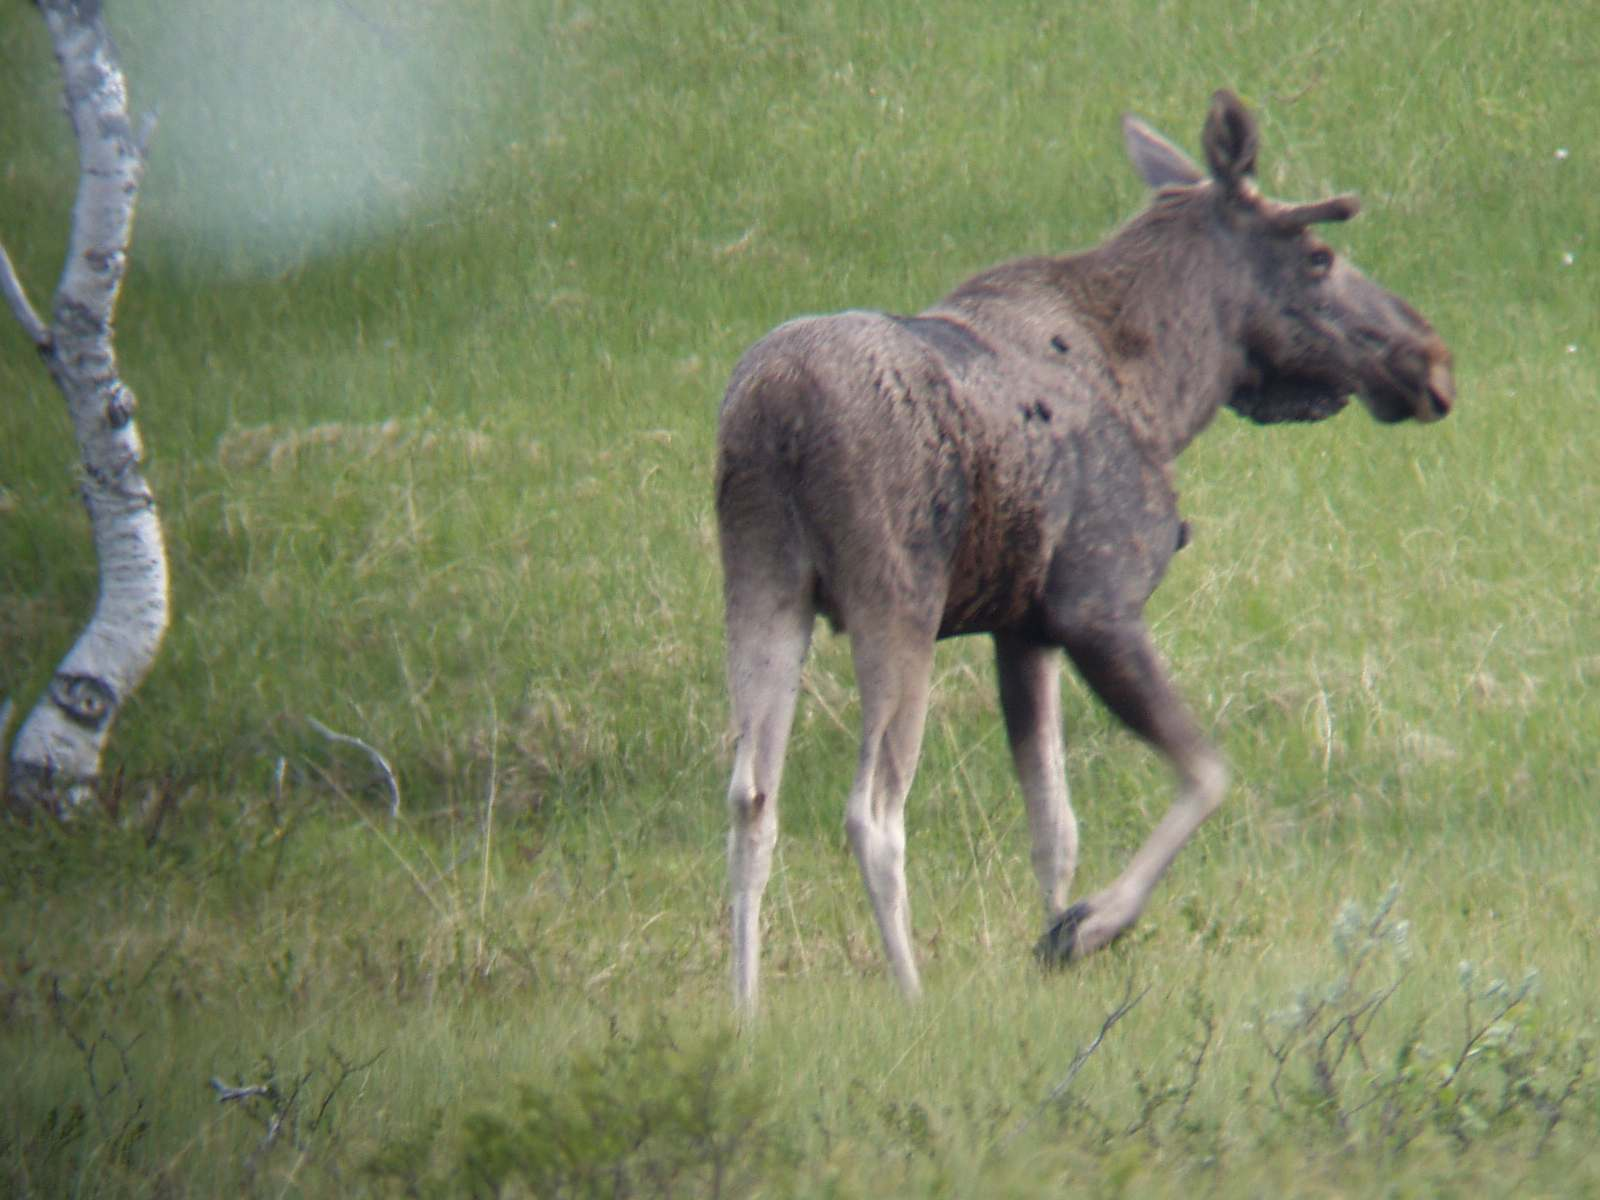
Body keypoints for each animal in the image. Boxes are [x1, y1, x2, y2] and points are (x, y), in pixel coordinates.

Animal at [720, 89, 1459, 1017]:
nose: (1430, 358)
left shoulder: (1021, 628)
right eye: (1320, 255)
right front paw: (1089, 927)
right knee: (872, 809)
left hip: (762, 582)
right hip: (896, 599)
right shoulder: (1094, 604)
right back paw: (911, 996)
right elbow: (1206, 773)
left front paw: (1054, 930)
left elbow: (1055, 825)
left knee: (750, 795)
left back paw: (746, 1009)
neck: (1169, 389)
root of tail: (774, 414)